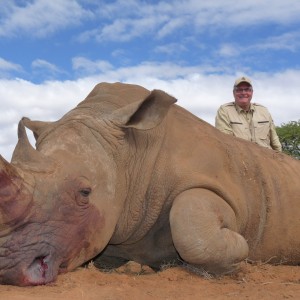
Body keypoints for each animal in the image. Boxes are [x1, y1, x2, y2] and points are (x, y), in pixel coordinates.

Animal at [0, 82, 300, 286]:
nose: (7, 269)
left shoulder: (227, 192)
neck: (131, 157)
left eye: (85, 193)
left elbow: (192, 225)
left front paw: (242, 254)